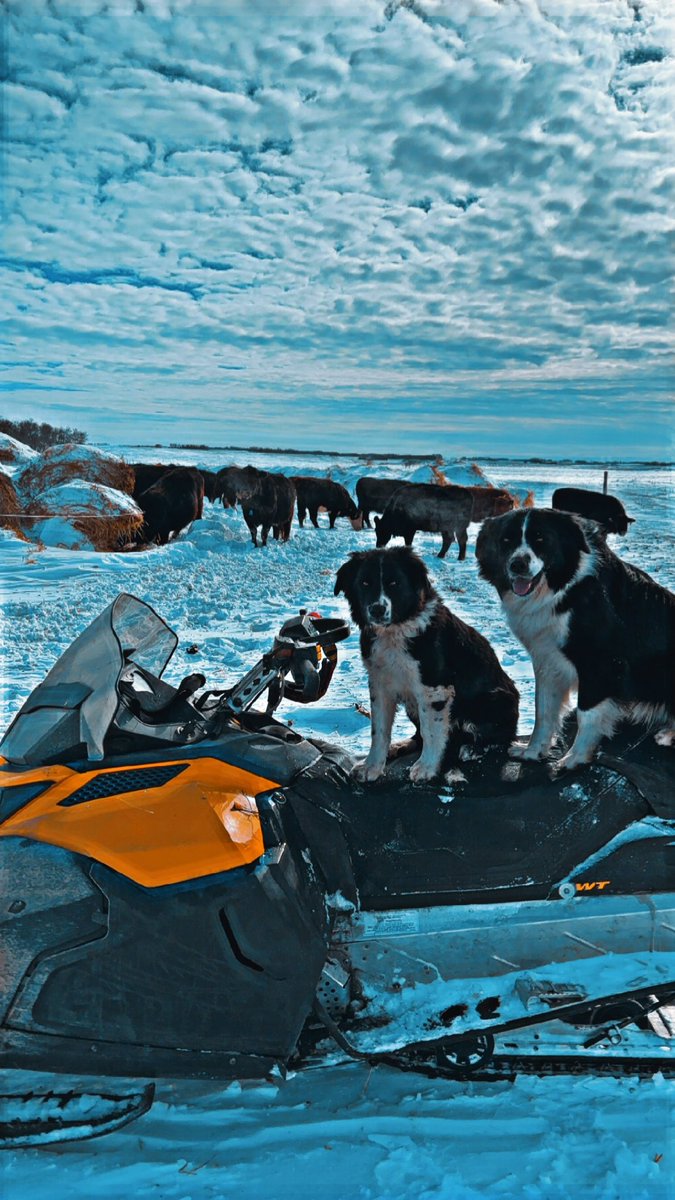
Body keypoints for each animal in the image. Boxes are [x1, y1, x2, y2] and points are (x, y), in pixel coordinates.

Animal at [333, 549, 516, 782]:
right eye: (364, 583)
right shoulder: (380, 685)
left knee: (501, 738)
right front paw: (371, 766)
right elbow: (379, 731)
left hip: (493, 700)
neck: (394, 631)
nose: (377, 610)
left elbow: (431, 732)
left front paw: (427, 767)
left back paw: (472, 749)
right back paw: (400, 746)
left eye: (395, 583)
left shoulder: (434, 688)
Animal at [473, 506, 672, 768]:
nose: (517, 565)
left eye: (541, 539)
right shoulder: (548, 658)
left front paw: (575, 758)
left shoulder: (601, 663)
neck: (562, 589)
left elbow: (585, 713)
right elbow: (543, 710)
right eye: (507, 540)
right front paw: (533, 751)